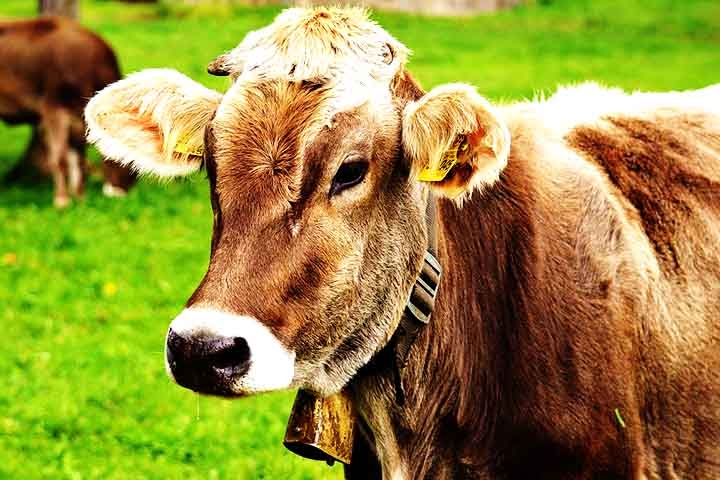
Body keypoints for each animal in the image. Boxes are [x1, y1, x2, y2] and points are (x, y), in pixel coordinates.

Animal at [0, 16, 136, 207]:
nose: (121, 192)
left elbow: (78, 160)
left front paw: (80, 198)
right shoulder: (53, 109)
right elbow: (61, 159)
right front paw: (62, 200)